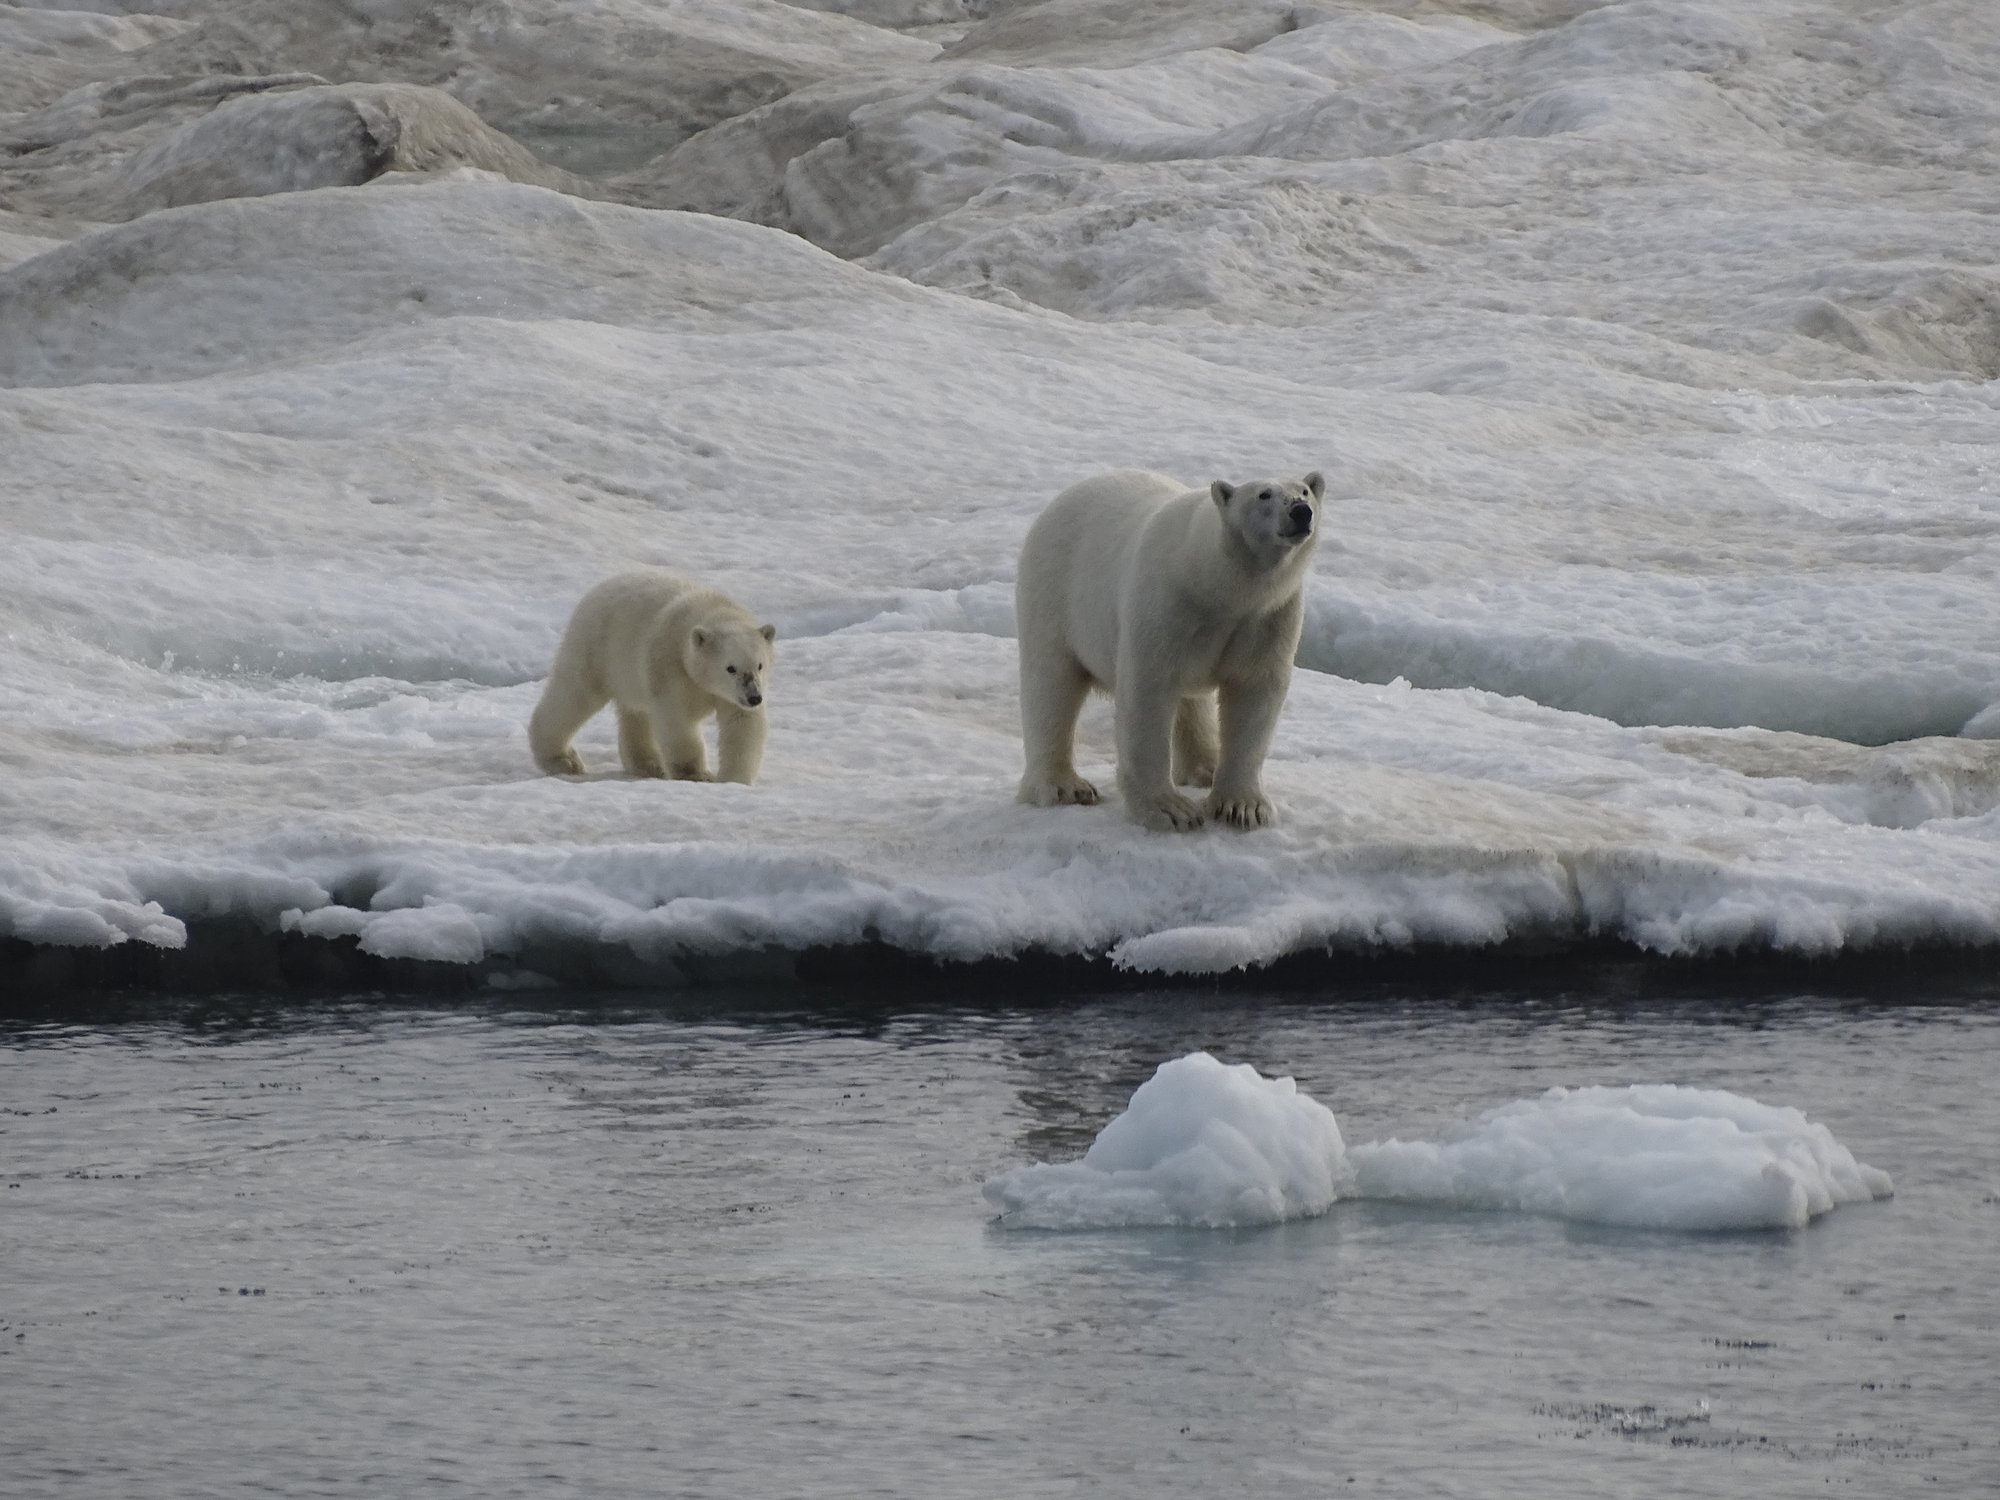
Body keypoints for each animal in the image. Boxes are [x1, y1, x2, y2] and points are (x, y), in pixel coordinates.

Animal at [528, 568, 776, 788]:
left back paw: (648, 765)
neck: (711, 608)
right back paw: (563, 760)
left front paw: (734, 781)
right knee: (574, 695)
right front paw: (698, 775)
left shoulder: (732, 695)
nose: (754, 698)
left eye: (760, 665)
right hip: (596, 647)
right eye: (730, 668)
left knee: (635, 713)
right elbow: (677, 719)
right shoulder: (670, 665)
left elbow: (741, 724)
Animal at [1016, 470, 1328, 836]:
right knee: (1051, 686)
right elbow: (1148, 693)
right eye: (1264, 494)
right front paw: (1170, 811)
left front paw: (1244, 807)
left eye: (1304, 490)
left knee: (1191, 703)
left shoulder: (1268, 616)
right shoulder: (1166, 605)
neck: (1216, 584)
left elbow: (1254, 694)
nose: (1301, 511)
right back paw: (1064, 786)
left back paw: (1205, 767)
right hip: (1056, 596)